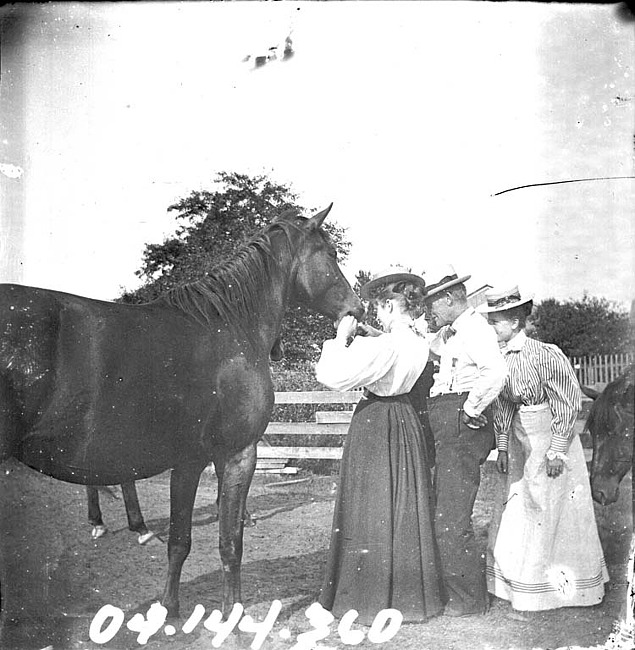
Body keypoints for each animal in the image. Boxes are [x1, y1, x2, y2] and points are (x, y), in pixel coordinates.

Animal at [0, 206, 366, 616]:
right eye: (331, 254)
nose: (357, 309)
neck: (229, 327)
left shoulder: (189, 461)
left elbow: (180, 541)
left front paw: (169, 610)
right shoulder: (237, 455)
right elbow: (230, 543)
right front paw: (232, 614)